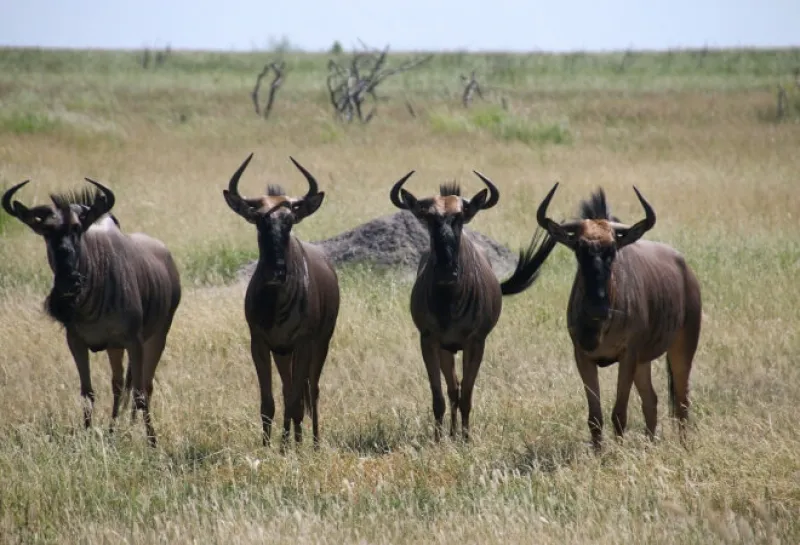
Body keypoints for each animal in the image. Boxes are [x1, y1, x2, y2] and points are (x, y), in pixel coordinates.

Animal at [2, 179, 181, 447]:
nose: (68, 283)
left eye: (77, 228)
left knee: (143, 386)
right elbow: (88, 392)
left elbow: (139, 393)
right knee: (119, 385)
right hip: (114, 347)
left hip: (158, 335)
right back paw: (113, 432)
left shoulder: (134, 341)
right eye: (46, 232)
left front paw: (152, 442)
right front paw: (87, 435)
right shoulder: (76, 341)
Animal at [222, 153, 339, 449]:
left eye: (289, 220)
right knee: (288, 390)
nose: (277, 272)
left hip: (321, 343)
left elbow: (298, 401)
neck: (275, 306)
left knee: (312, 391)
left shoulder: (305, 343)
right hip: (284, 353)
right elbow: (269, 403)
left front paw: (298, 448)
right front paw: (270, 447)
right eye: (259, 220)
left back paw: (313, 443)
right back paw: (288, 442)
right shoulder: (262, 344)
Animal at [390, 171, 556, 441]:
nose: (447, 272)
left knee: (458, 390)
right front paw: (438, 439)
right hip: (446, 349)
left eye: (459, 217)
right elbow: (439, 396)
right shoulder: (429, 340)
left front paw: (466, 439)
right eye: (429, 218)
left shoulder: (476, 342)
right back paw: (450, 433)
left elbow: (467, 395)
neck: (449, 301)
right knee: (452, 389)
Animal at [536, 183, 702, 448]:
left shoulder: (628, 356)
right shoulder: (583, 357)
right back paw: (649, 445)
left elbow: (619, 413)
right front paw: (598, 452)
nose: (597, 307)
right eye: (579, 249)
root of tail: (686, 270)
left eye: (612, 249)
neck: (599, 328)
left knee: (682, 401)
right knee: (652, 400)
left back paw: (683, 446)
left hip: (683, 347)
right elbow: (595, 416)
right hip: (644, 361)